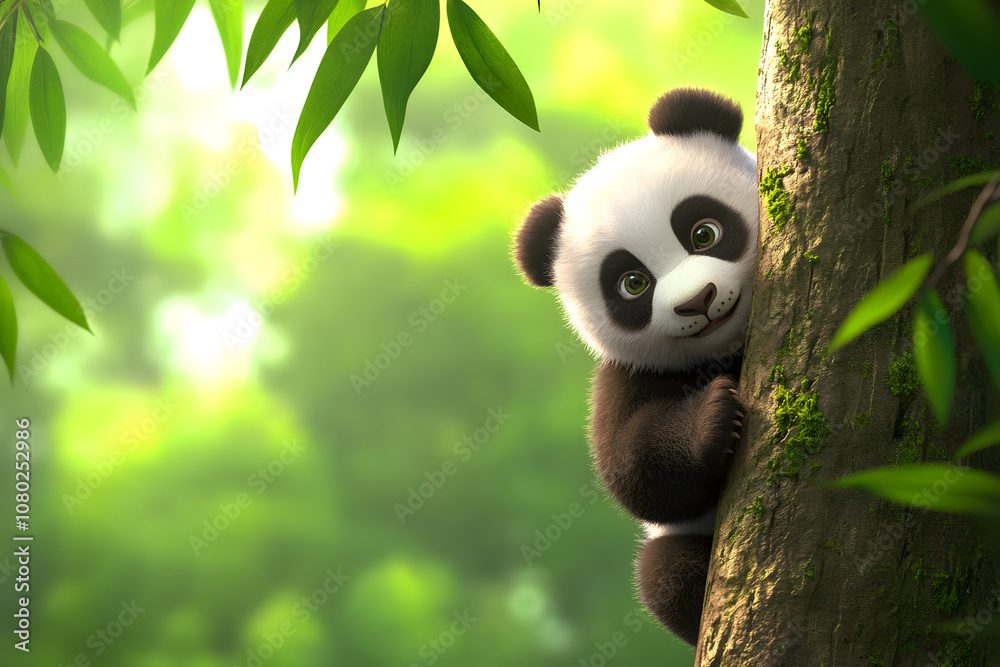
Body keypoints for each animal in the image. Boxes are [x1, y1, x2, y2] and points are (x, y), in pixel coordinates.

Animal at [512, 88, 758, 646]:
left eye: (704, 233)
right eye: (633, 284)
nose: (698, 301)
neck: (724, 348)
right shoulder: (626, 375)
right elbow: (636, 471)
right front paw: (714, 413)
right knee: (663, 573)